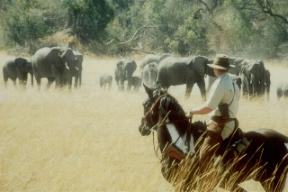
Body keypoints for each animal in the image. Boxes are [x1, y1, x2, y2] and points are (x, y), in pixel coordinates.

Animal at [139, 85, 288, 191]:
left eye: (145, 104)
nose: (141, 127)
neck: (180, 143)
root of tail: (284, 140)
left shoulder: (185, 184)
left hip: (274, 183)